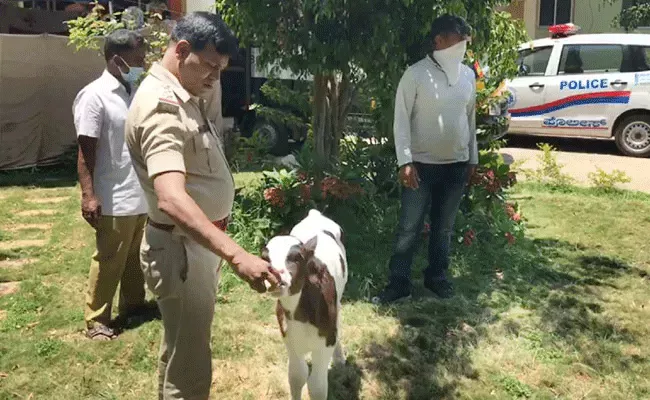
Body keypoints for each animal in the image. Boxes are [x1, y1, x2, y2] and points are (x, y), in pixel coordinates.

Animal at [260, 211, 346, 398]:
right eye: (265, 259)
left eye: (296, 257)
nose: (275, 278)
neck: (300, 316)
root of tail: (315, 214)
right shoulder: (289, 339)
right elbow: (297, 376)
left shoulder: (325, 344)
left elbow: (317, 387)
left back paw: (339, 358)